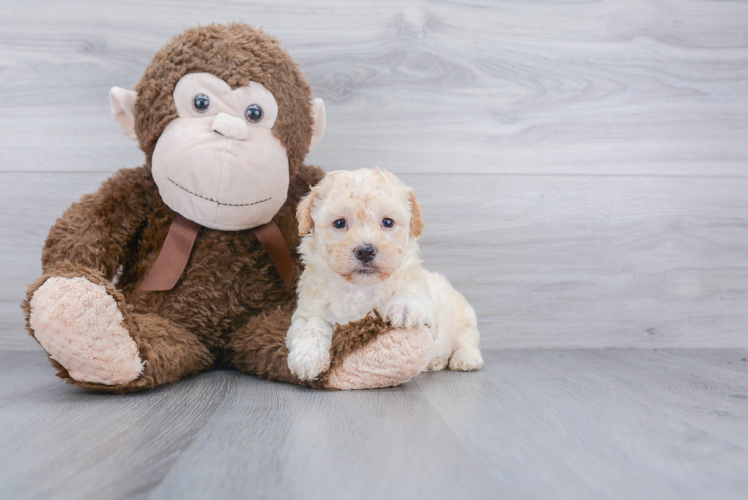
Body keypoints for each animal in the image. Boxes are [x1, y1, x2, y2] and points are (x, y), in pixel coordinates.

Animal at [286, 167, 486, 378]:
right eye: (339, 223)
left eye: (388, 222)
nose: (366, 251)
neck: (361, 287)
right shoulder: (309, 309)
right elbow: (310, 324)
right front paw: (307, 357)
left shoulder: (426, 301)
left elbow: (412, 295)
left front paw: (405, 307)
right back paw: (436, 362)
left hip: (464, 316)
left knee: (466, 339)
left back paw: (465, 358)